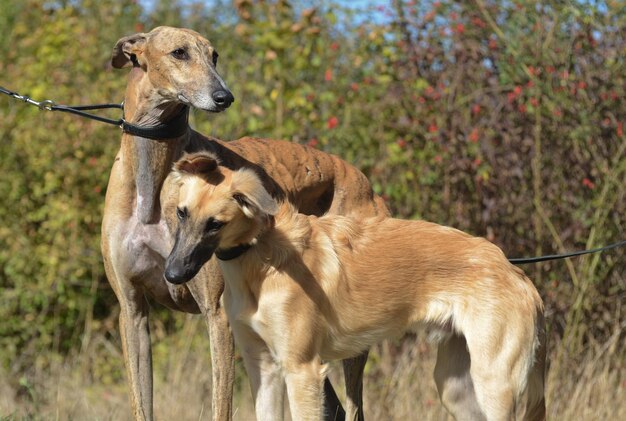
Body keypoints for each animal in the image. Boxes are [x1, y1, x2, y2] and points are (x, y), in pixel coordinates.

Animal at [163, 151, 544, 420]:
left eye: (215, 224)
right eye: (181, 213)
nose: (173, 274)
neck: (262, 260)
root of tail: (514, 271)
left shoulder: (303, 371)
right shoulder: (264, 369)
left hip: (494, 385)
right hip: (457, 388)